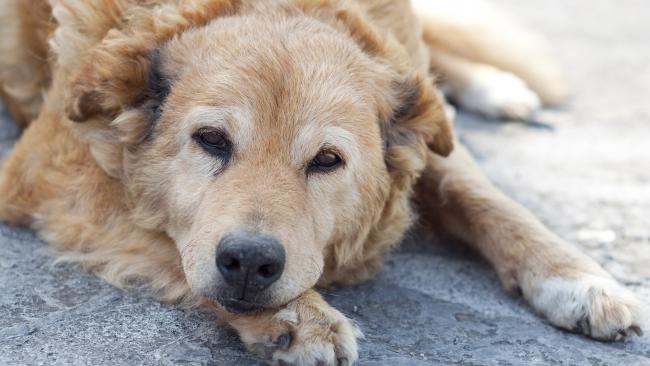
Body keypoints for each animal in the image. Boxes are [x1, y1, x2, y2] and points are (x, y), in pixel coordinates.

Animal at [0, 0, 640, 364]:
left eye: (327, 160)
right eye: (211, 140)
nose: (249, 263)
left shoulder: (424, 142)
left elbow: (484, 196)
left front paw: (578, 279)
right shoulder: (48, 176)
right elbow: (165, 242)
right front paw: (298, 316)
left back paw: (494, 86)